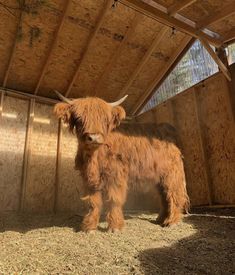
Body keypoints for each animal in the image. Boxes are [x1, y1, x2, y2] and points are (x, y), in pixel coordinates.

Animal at [53, 92, 189, 233]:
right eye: (79, 118)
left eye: (105, 120)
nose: (94, 137)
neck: (94, 158)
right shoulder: (89, 179)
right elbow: (92, 202)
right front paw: (89, 227)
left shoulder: (116, 176)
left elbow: (114, 200)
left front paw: (115, 227)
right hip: (160, 177)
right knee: (164, 197)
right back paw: (160, 219)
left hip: (172, 174)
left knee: (174, 194)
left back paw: (172, 221)